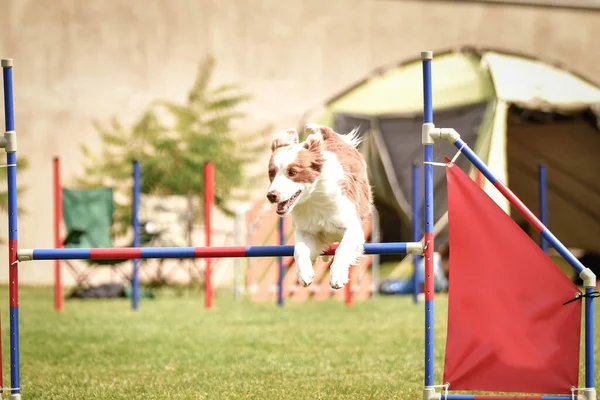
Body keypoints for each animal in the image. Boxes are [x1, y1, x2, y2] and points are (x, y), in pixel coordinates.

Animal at [266, 123, 372, 290]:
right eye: (271, 173)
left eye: (293, 172)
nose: (271, 195)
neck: (313, 200)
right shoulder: (306, 231)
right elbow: (299, 250)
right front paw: (304, 275)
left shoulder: (353, 228)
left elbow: (343, 248)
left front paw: (337, 277)